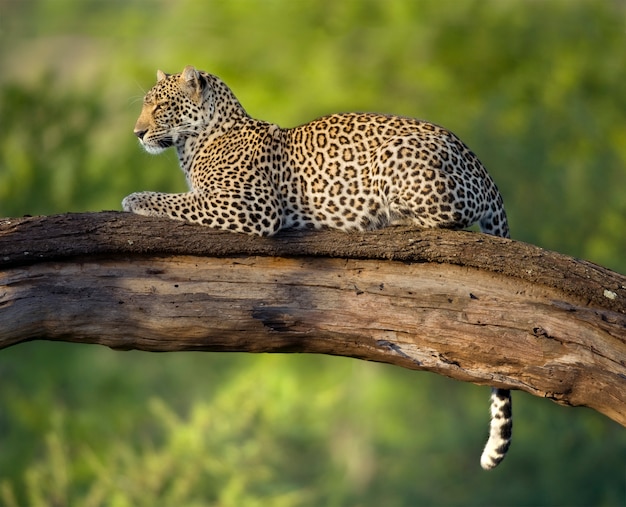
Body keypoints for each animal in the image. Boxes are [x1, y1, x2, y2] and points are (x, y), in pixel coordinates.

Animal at [123, 65, 512, 470]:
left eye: (161, 106)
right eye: (147, 105)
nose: (137, 133)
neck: (196, 143)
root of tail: (481, 166)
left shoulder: (251, 205)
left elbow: (179, 201)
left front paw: (135, 199)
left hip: (401, 157)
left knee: (445, 219)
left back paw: (386, 219)